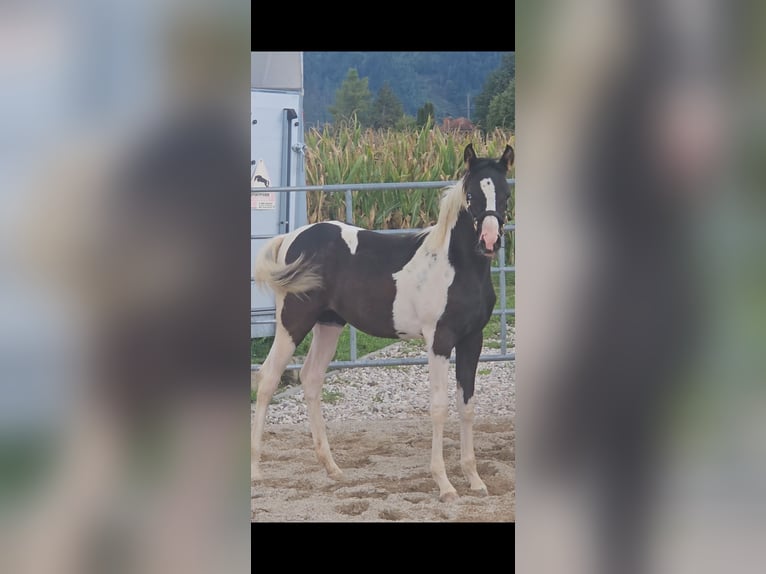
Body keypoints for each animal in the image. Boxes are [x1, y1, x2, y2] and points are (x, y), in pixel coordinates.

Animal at [251, 143, 513, 502]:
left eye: (505, 194)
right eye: (471, 194)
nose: (489, 241)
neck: (455, 267)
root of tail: (292, 238)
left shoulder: (473, 339)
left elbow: (468, 405)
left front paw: (475, 480)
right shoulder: (440, 340)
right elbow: (439, 406)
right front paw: (445, 485)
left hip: (329, 324)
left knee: (311, 378)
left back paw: (333, 468)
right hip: (293, 322)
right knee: (267, 379)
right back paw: (256, 472)